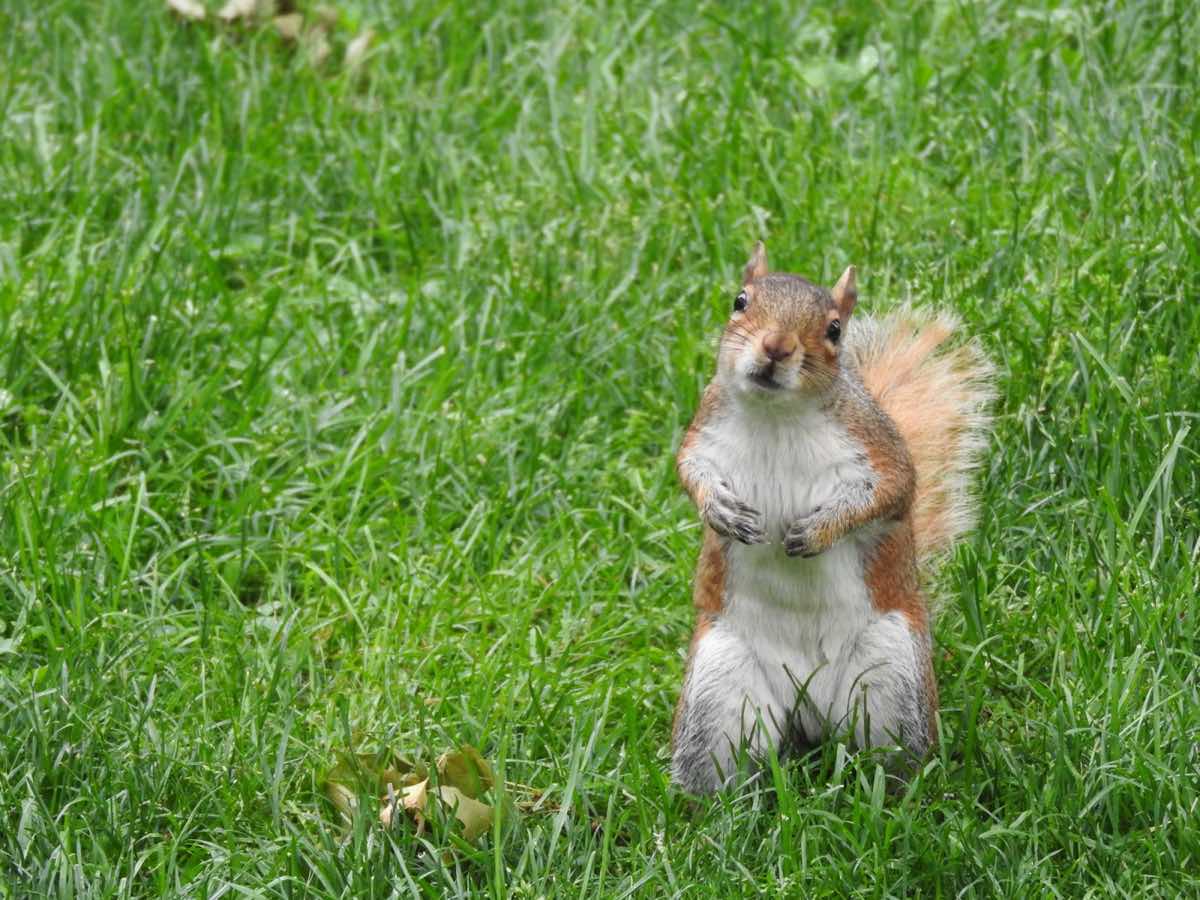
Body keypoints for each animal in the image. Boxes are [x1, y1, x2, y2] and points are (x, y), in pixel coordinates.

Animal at [672, 241, 988, 796]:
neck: (776, 415)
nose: (777, 347)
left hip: (892, 676)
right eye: (739, 301)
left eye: (835, 329)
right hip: (721, 686)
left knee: (892, 757)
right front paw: (720, 512)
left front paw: (818, 531)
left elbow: (891, 491)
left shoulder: (878, 449)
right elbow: (691, 472)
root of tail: (808, 709)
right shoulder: (704, 432)